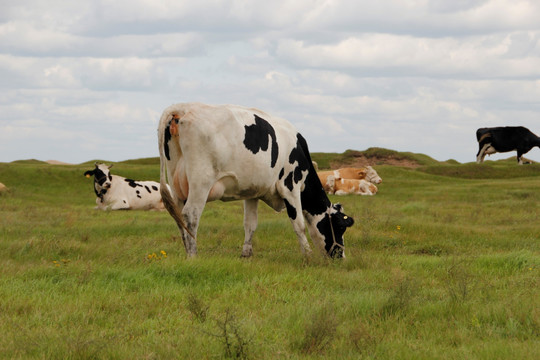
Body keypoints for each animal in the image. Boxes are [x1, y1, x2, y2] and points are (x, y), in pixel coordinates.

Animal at [156, 102, 354, 258]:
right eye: (340, 227)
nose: (341, 257)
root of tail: (182, 107)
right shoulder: (290, 186)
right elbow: (299, 224)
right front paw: (308, 255)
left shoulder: (252, 192)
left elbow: (250, 224)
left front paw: (246, 254)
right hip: (201, 181)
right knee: (191, 215)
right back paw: (193, 256)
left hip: (177, 184)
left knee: (179, 216)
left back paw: (186, 251)